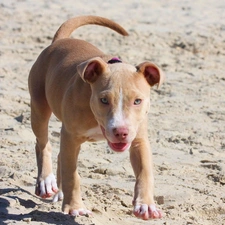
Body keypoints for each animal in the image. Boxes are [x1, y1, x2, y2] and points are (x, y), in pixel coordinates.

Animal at [29, 15, 164, 220]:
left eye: (137, 101)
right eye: (104, 100)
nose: (121, 132)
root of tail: (59, 42)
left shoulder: (139, 139)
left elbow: (145, 173)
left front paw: (146, 205)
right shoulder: (71, 137)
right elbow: (72, 175)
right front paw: (75, 207)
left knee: (58, 153)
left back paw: (59, 192)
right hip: (39, 108)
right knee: (43, 143)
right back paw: (46, 181)